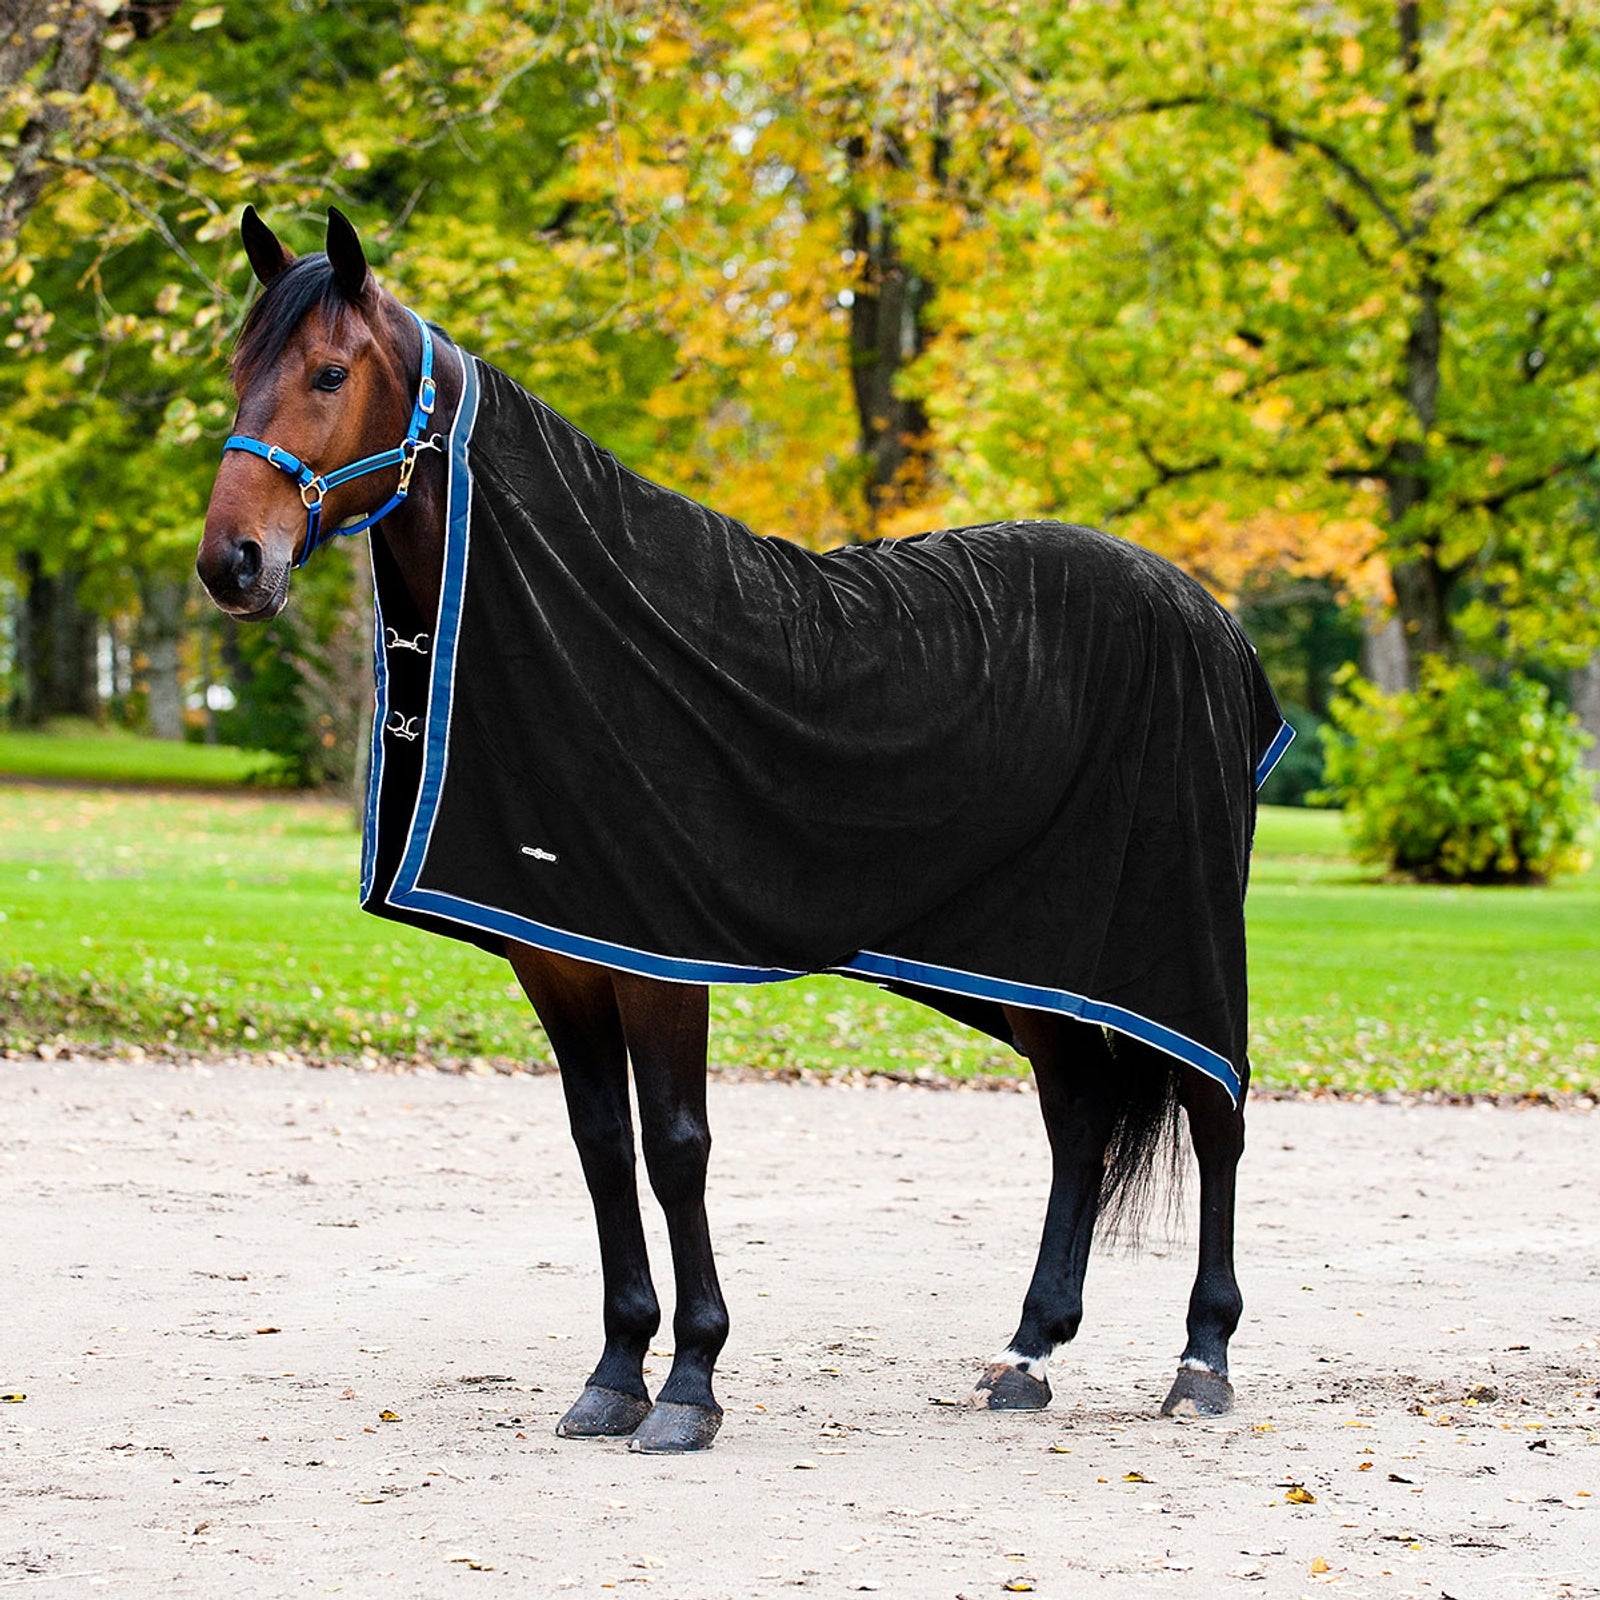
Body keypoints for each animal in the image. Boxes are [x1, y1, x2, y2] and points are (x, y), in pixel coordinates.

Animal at [197, 206, 1290, 1454]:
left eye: (329, 373)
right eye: (238, 370)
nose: (232, 562)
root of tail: (1207, 614)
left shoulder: (659, 953)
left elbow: (678, 1149)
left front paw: (689, 1384)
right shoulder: (558, 956)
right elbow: (601, 1146)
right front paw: (614, 1371)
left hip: (1180, 937)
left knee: (1215, 1111)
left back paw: (1202, 1357)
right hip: (1047, 955)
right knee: (1080, 1117)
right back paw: (1024, 1353)